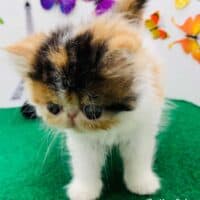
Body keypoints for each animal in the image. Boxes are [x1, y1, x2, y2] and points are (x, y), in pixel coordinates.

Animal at [7, 0, 165, 199]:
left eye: (92, 111)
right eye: (53, 108)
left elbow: (138, 154)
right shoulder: (81, 139)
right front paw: (84, 190)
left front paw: (141, 183)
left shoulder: (143, 123)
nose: (71, 116)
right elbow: (85, 162)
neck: (113, 124)